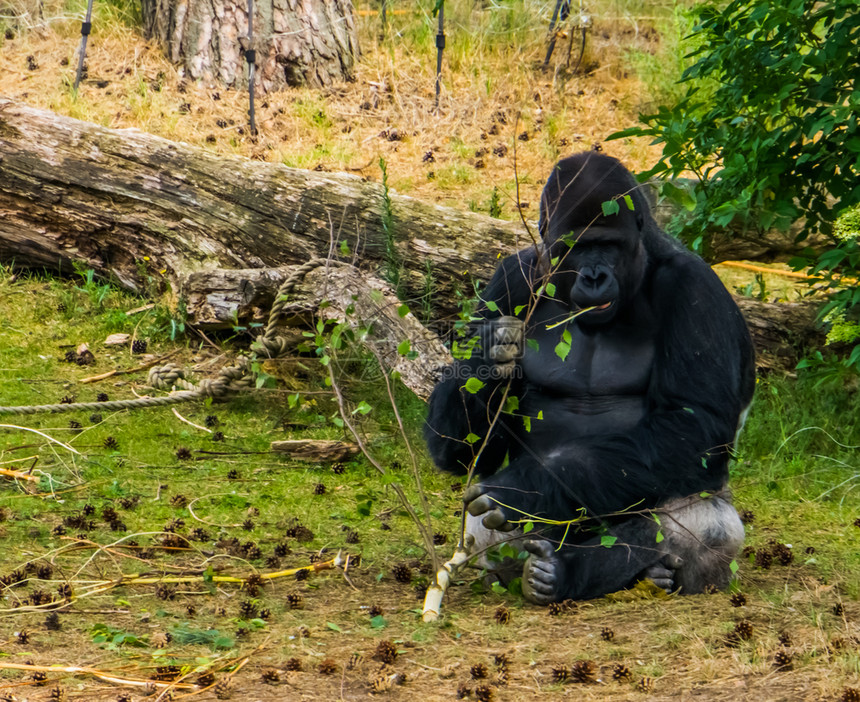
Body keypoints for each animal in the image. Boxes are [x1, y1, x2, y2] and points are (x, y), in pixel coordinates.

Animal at [426, 153, 756, 604]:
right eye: (576, 248)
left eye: (609, 246)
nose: (595, 276)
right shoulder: (511, 278)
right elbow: (465, 451)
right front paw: (488, 355)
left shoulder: (695, 289)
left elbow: (694, 425)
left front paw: (526, 489)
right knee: (483, 530)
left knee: (707, 522)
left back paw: (575, 573)